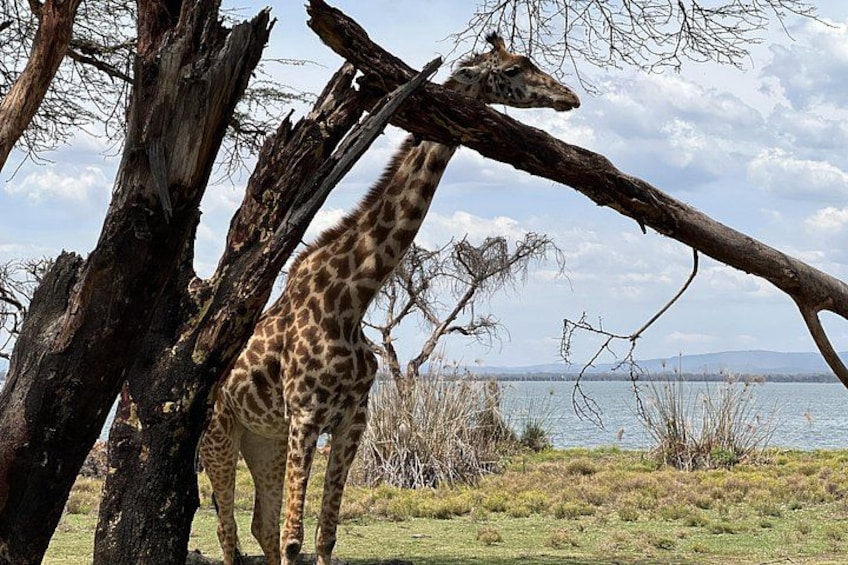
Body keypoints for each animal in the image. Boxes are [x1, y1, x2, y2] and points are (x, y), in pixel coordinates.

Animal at [199, 32, 580, 565]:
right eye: (513, 69)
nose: (570, 97)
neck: (350, 299)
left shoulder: (351, 420)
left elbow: (324, 535)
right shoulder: (306, 415)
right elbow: (297, 540)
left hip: (263, 438)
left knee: (262, 526)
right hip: (221, 431)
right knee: (229, 530)